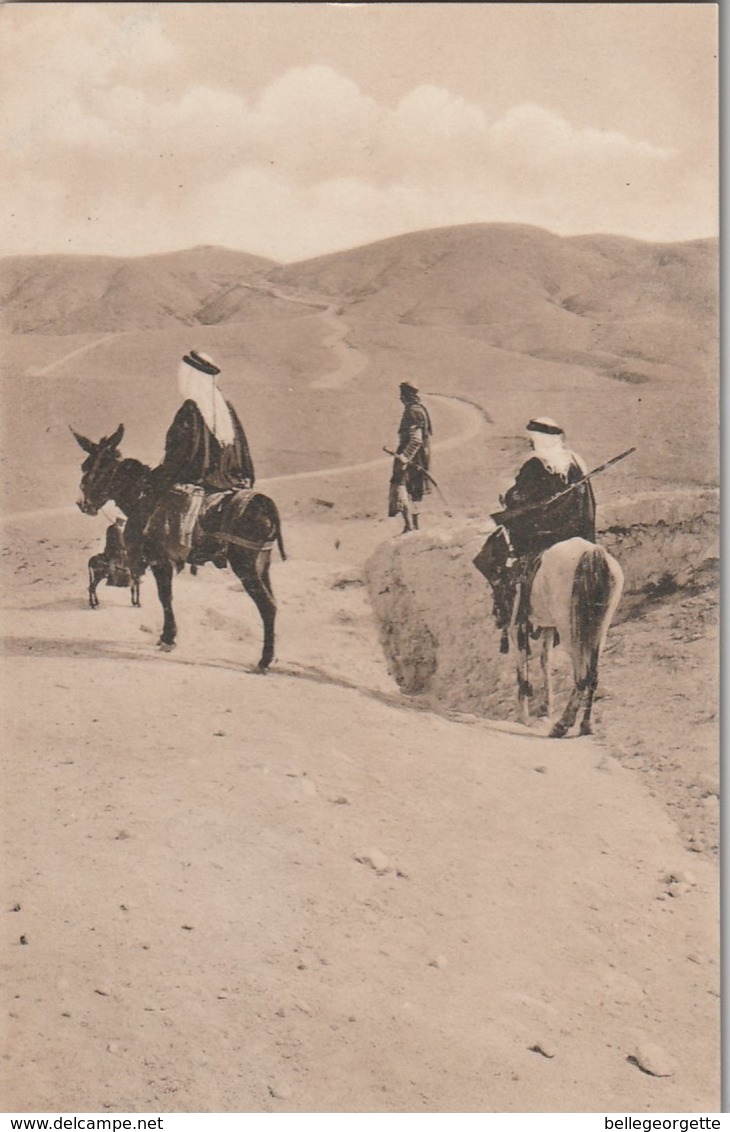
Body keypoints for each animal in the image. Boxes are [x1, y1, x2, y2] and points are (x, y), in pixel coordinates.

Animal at [509, 536, 624, 738]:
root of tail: (592, 552)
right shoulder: (547, 627)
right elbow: (545, 661)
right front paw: (545, 708)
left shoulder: (517, 627)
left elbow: (522, 672)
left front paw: (523, 716)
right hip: (598, 630)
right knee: (593, 675)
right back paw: (585, 724)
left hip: (572, 633)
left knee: (582, 675)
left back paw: (563, 724)